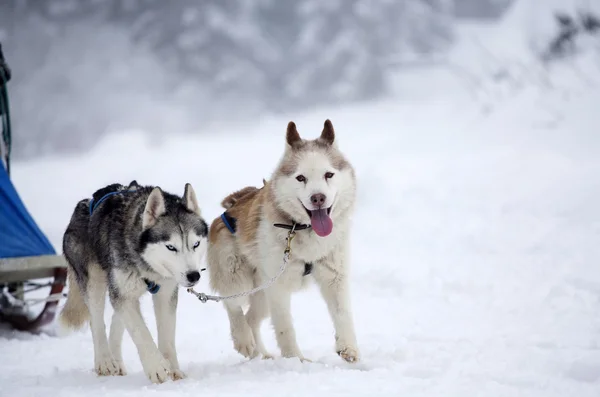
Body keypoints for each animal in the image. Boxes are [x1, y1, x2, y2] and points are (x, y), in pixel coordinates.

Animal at [58, 180, 209, 384]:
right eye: (171, 247)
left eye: (196, 244)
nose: (194, 276)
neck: (148, 267)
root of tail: (85, 202)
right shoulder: (123, 294)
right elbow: (140, 331)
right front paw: (157, 367)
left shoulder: (165, 293)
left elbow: (167, 336)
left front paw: (173, 369)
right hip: (96, 282)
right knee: (96, 322)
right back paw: (105, 361)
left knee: (117, 320)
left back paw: (116, 360)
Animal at [206, 120, 360, 362]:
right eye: (300, 178)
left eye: (329, 174)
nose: (318, 198)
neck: (303, 230)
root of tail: (233, 204)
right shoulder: (278, 287)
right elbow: (285, 328)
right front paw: (295, 359)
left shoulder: (335, 277)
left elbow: (342, 313)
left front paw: (348, 347)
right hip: (237, 275)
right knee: (232, 305)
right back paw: (243, 340)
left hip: (262, 292)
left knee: (251, 318)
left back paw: (259, 354)